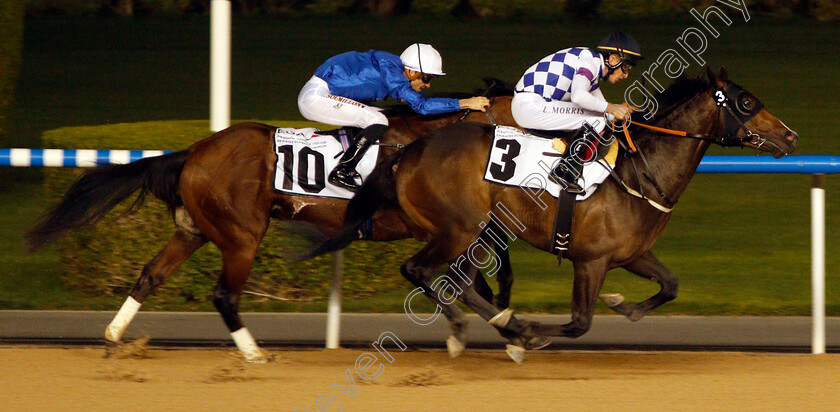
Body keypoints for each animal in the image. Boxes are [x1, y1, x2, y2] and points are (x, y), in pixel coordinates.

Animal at [24, 88, 520, 362]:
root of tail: (195, 151)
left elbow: (478, 272)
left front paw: (502, 330)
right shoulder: (439, 227)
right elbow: (468, 274)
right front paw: (505, 332)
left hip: (194, 231)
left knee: (150, 275)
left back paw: (114, 337)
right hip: (242, 234)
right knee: (224, 294)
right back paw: (254, 353)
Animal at [304, 68, 800, 364]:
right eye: (747, 103)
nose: (791, 136)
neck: (639, 173)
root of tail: (408, 151)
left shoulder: (631, 254)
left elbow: (671, 285)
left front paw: (626, 306)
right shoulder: (590, 260)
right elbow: (580, 323)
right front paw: (529, 332)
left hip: (470, 231)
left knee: (455, 280)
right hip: (458, 228)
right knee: (423, 271)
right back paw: (490, 327)